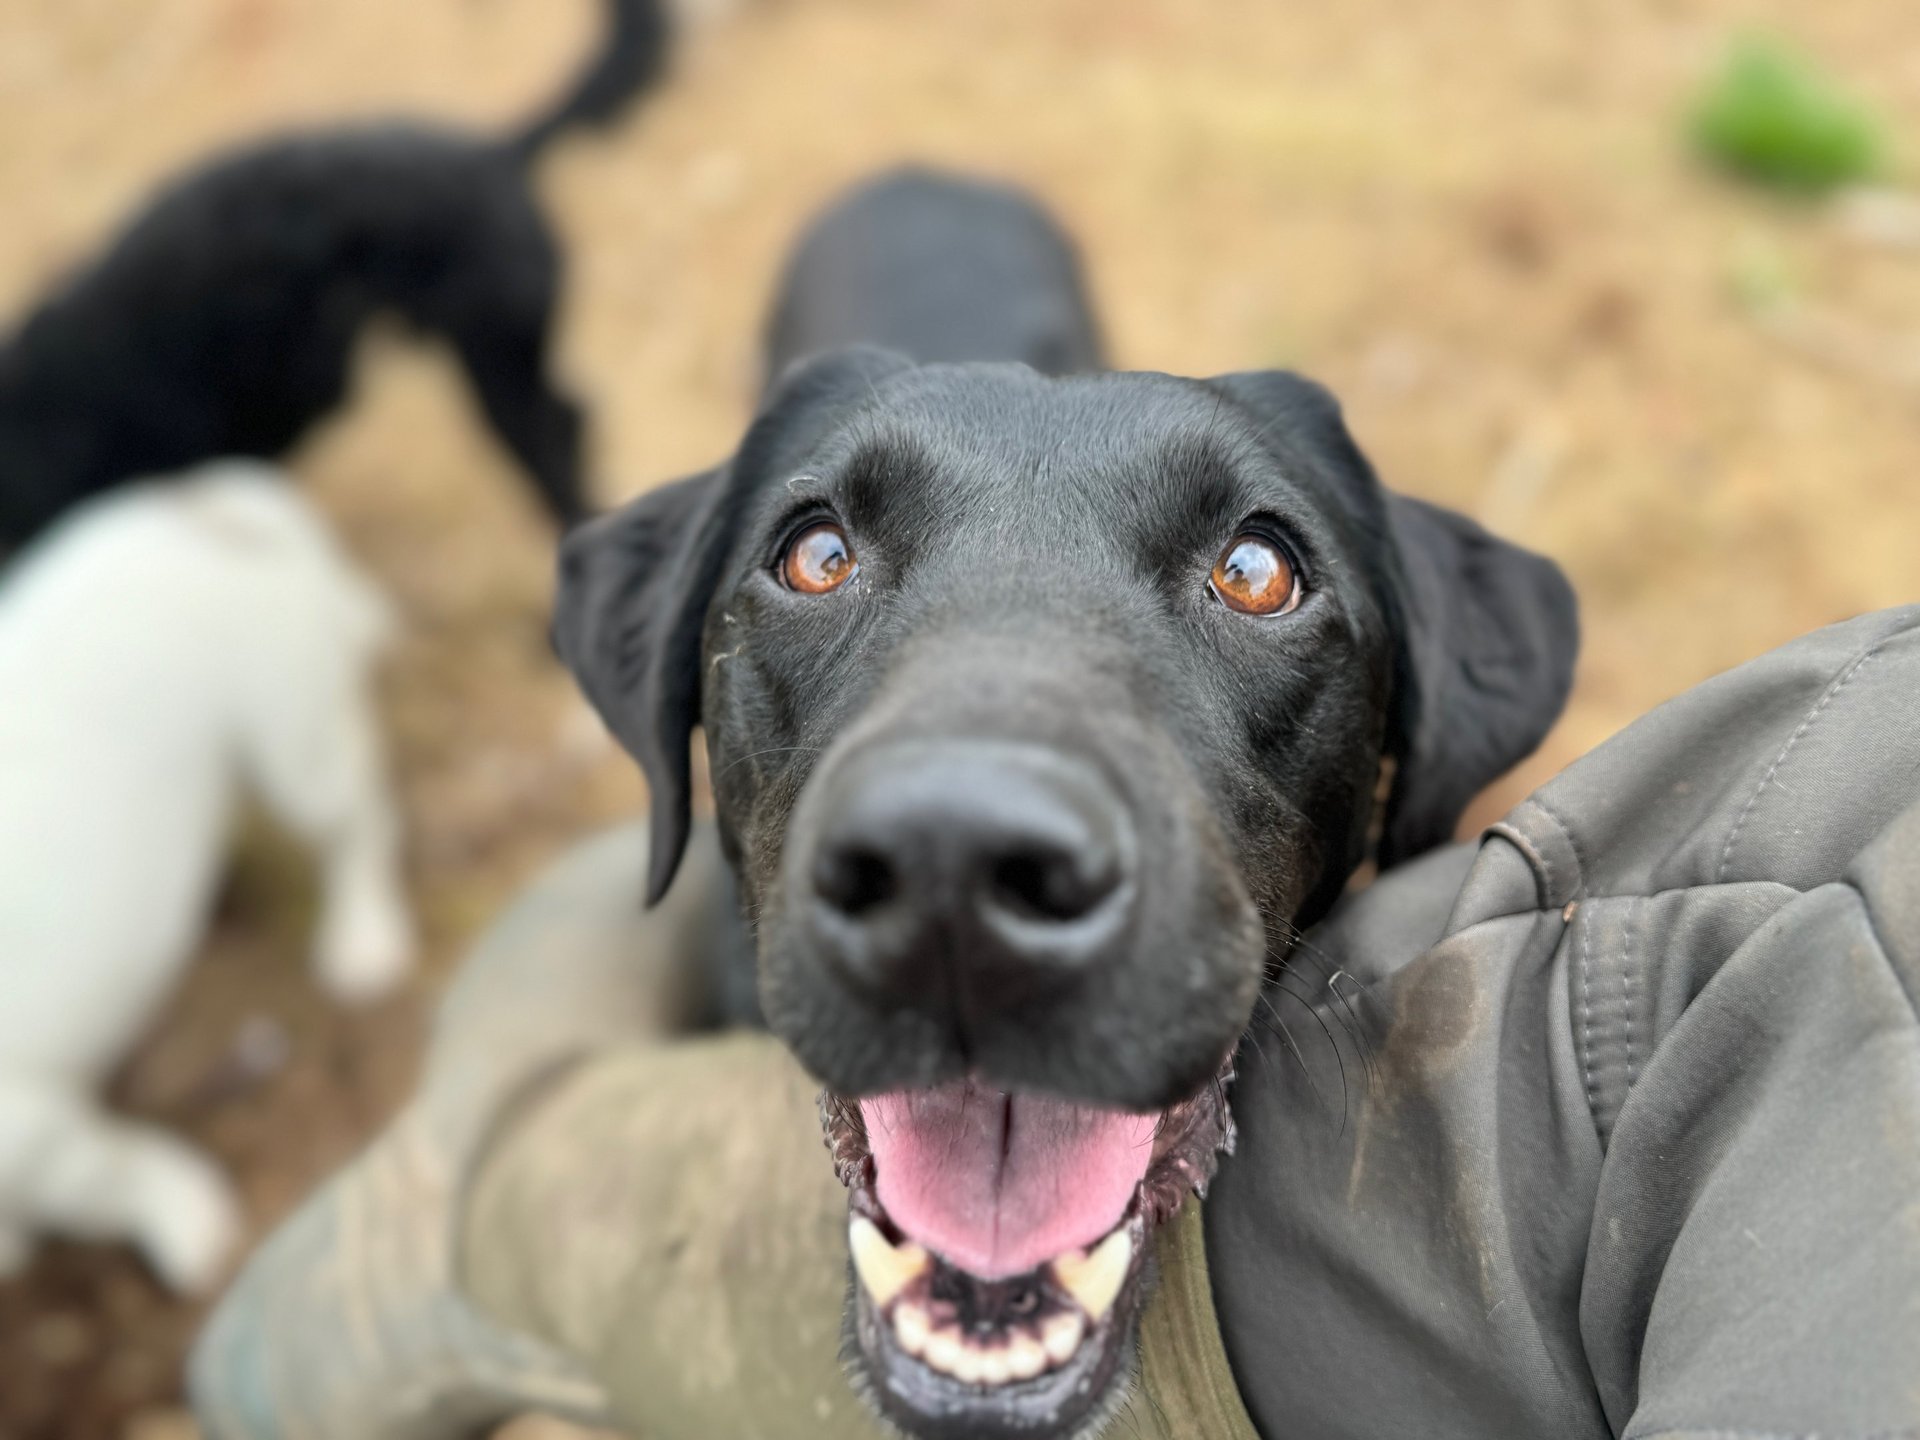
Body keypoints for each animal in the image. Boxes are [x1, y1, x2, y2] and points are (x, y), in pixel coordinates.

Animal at [0, 462, 416, 1297]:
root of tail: (209, 496)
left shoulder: (31, 1131)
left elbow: (109, 1181)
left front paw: (189, 1228)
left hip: (296, 744)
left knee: (358, 822)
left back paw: (362, 941)